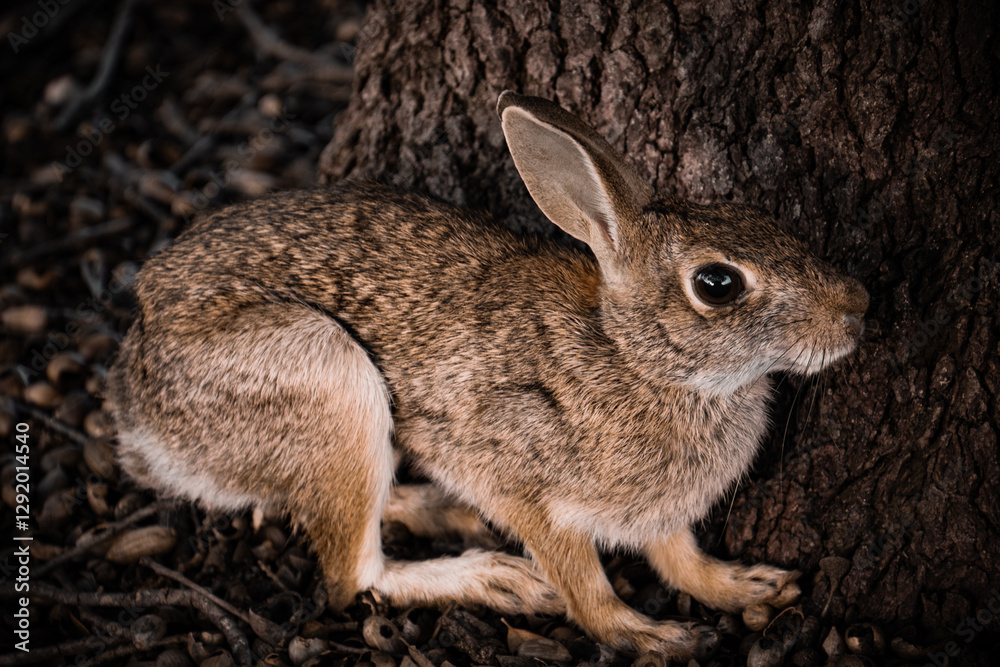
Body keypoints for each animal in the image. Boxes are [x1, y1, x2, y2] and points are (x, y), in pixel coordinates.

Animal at [106, 91, 869, 660]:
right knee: (353, 577)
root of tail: (139, 407)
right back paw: (497, 578)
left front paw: (747, 588)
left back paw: (443, 511)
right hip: (326, 377)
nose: (856, 309)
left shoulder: (658, 510)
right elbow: (583, 581)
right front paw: (648, 635)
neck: (635, 356)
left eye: (758, 217)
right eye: (717, 283)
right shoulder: (524, 481)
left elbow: (679, 557)